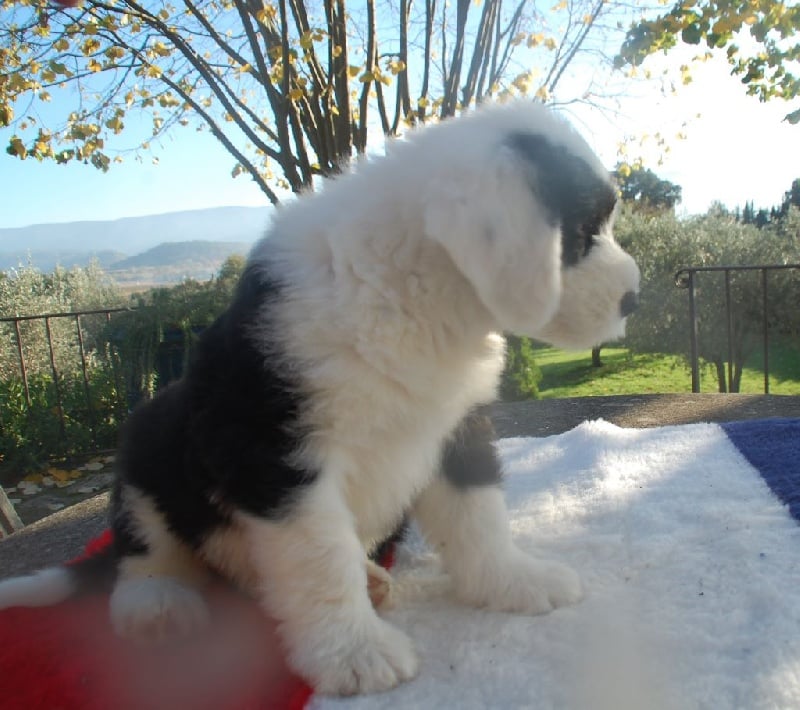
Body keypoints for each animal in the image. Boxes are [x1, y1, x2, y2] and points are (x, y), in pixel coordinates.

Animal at [0, 101, 639, 696]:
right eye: (583, 233)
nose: (633, 297)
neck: (412, 291)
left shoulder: (458, 424)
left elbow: (477, 514)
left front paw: (515, 582)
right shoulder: (276, 450)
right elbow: (318, 558)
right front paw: (354, 654)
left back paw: (372, 578)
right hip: (153, 440)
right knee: (147, 547)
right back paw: (158, 604)